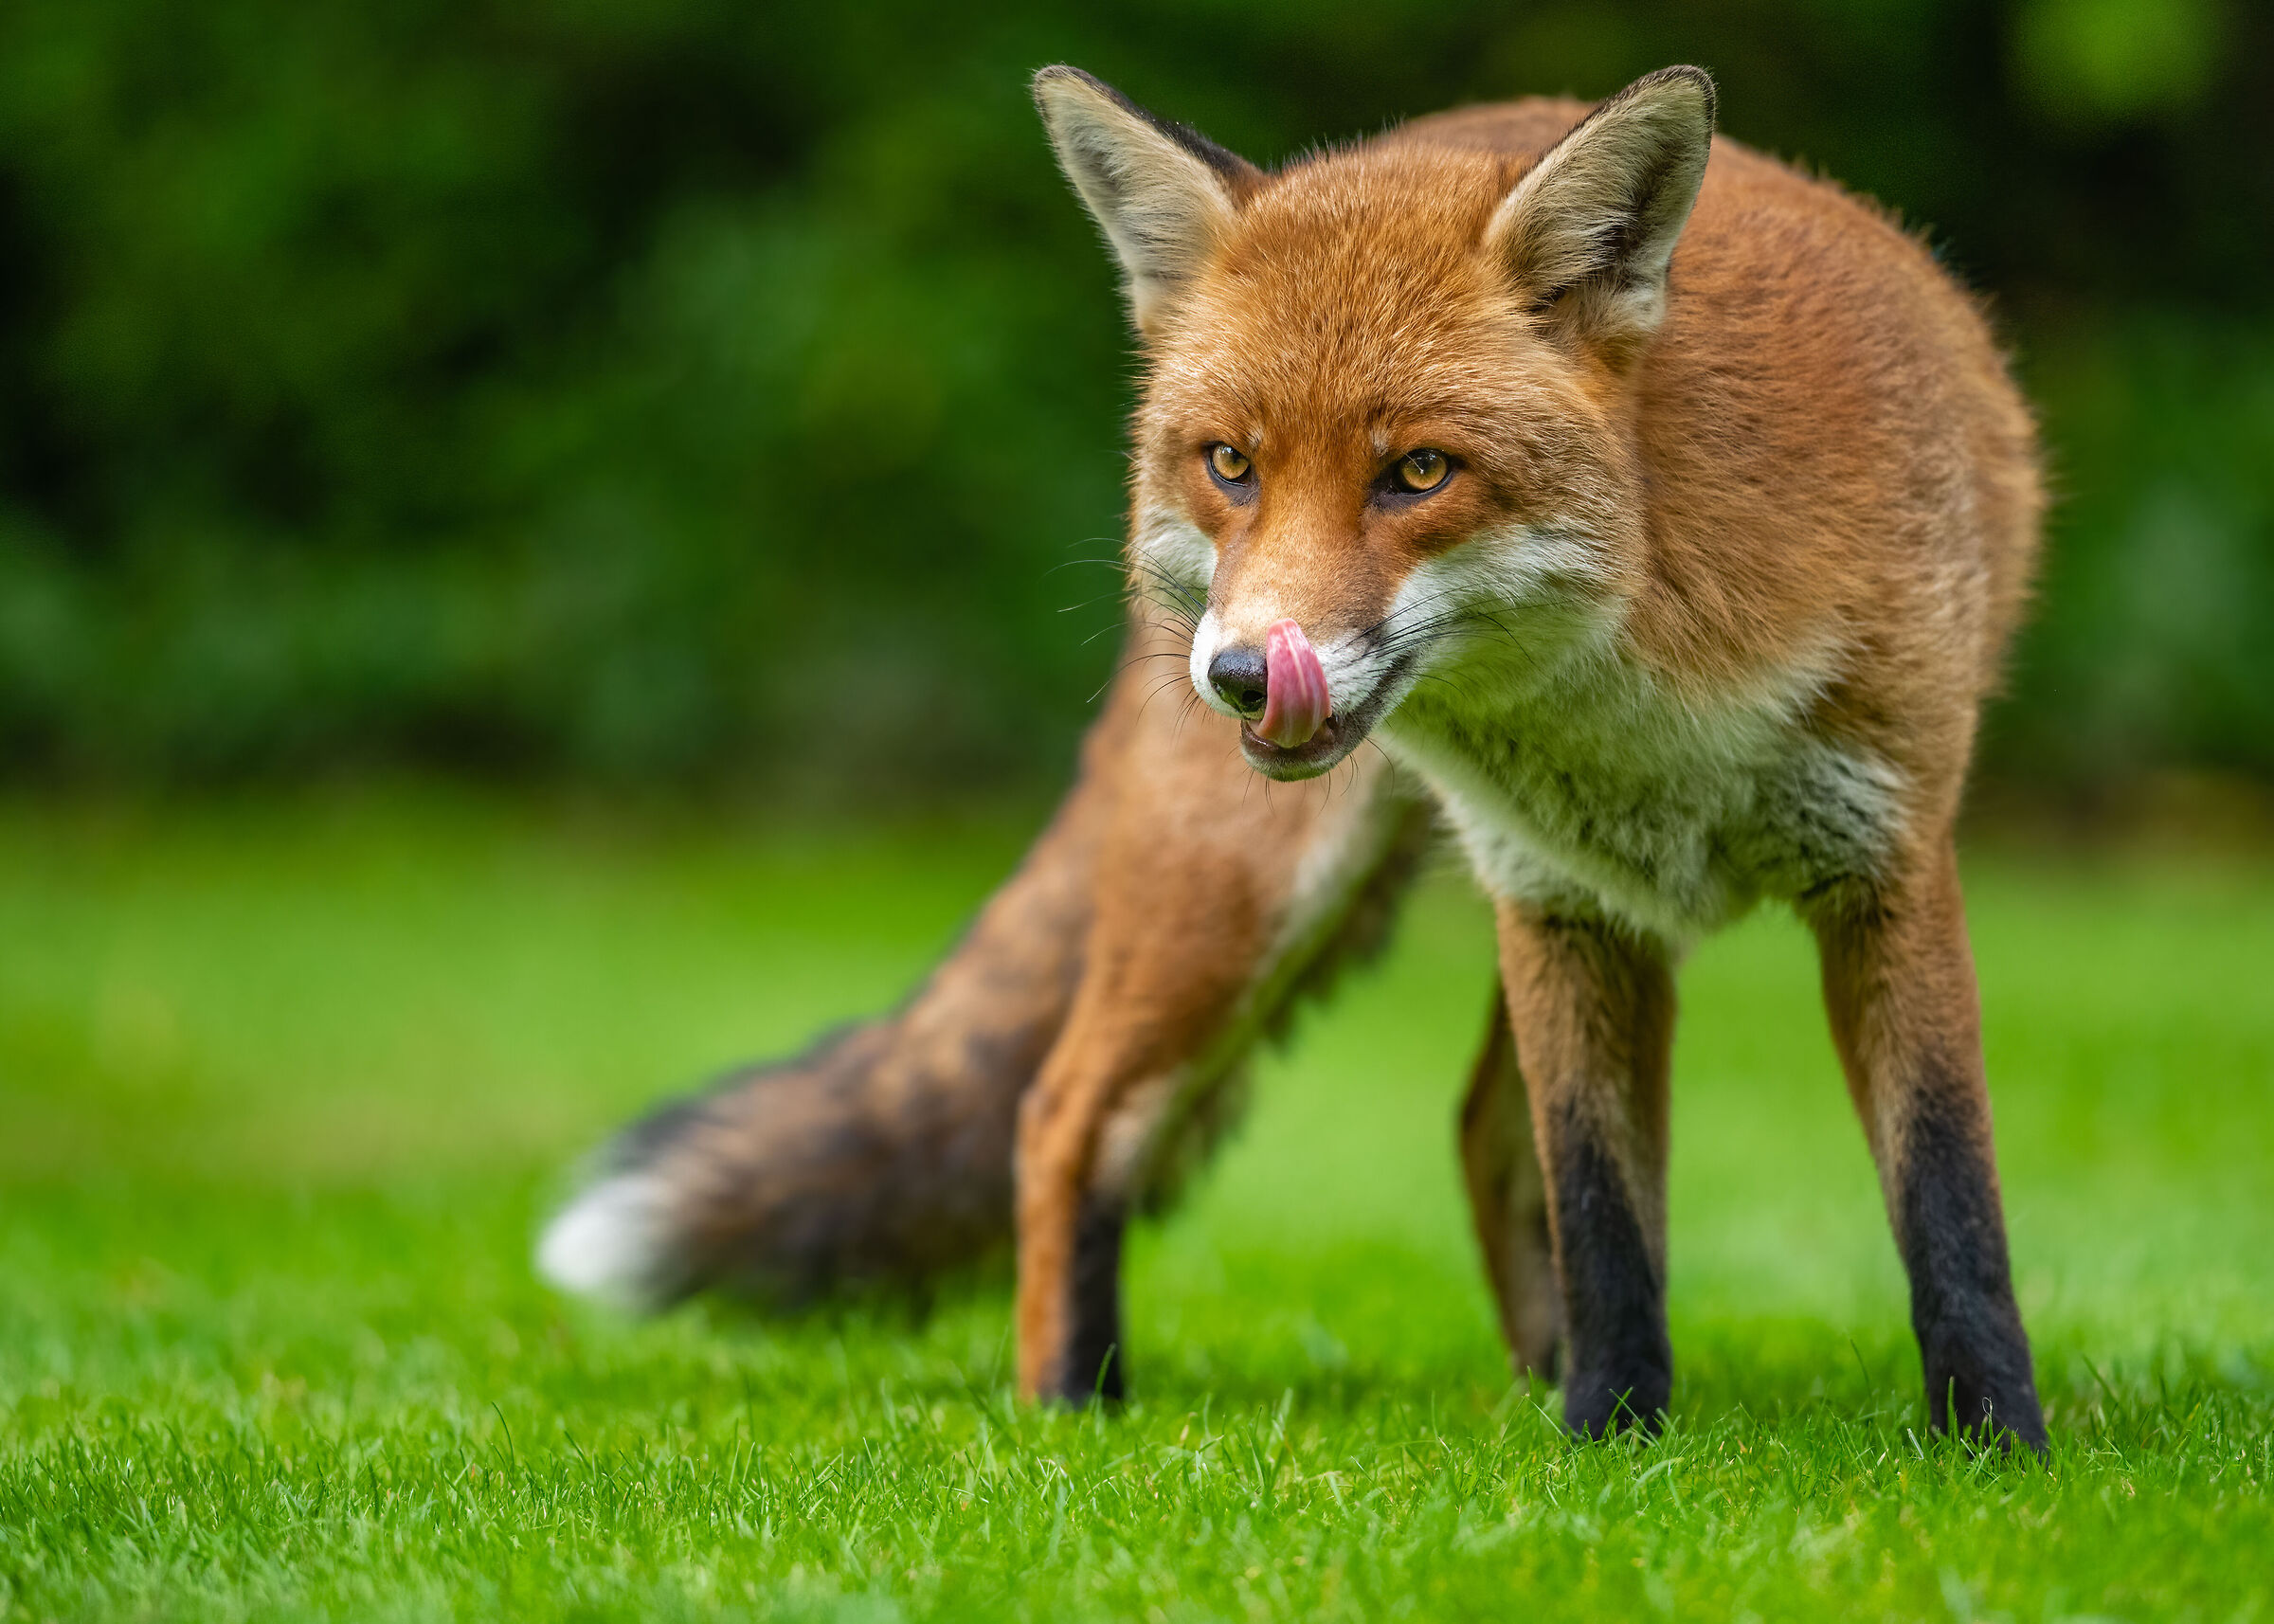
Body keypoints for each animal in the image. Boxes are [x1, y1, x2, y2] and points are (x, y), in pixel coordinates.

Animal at [541, 64, 2048, 1451]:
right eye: (1233, 464)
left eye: (1420, 472)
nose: (1241, 677)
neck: (1653, 714)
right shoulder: (1561, 898)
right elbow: (1606, 1209)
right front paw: (1615, 1440)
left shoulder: (1877, 864)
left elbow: (1946, 1191)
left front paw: (1990, 1451)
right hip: (1247, 896)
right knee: (1066, 1112)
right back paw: (1069, 1409)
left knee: (1477, 1135)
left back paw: (1525, 1385)